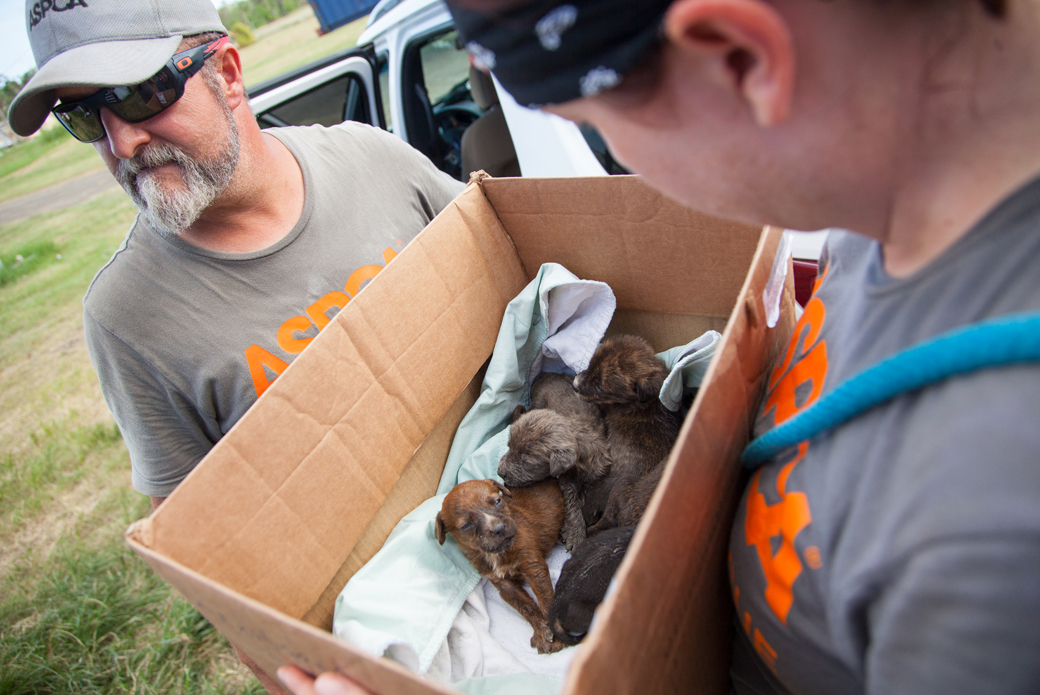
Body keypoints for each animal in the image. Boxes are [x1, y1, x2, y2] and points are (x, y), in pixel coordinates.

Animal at [438, 478, 569, 653]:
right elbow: (526, 607)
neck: (496, 553)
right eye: (466, 525)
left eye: (498, 501)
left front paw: (556, 636)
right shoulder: (504, 584)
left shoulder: (533, 567)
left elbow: (545, 597)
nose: (499, 528)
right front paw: (542, 632)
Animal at [497, 372, 607, 549]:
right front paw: (574, 530)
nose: (500, 472)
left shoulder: (596, 470)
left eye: (526, 462)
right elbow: (571, 499)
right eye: (509, 446)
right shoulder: (565, 479)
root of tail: (545, 374)